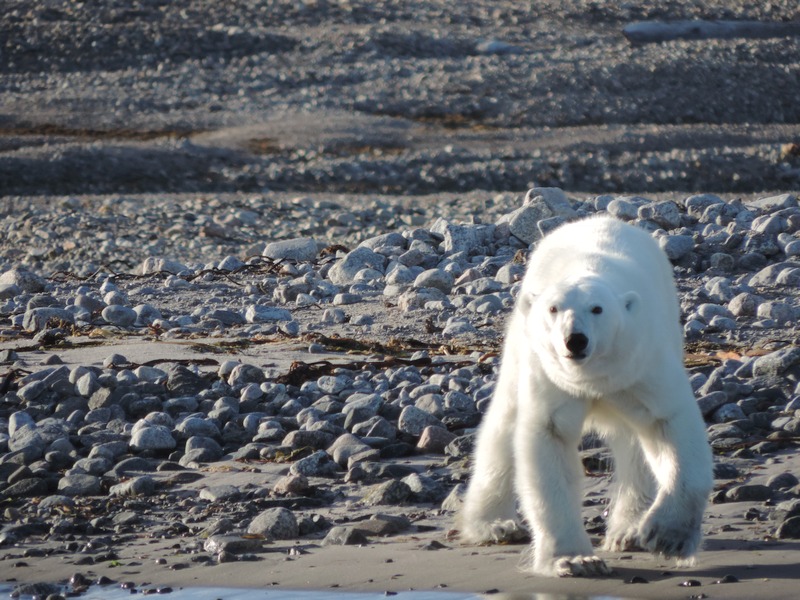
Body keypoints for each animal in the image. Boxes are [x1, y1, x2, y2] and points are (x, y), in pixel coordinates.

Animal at [460, 216, 716, 576]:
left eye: (597, 309)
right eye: (553, 308)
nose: (575, 340)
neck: (592, 380)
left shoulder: (642, 363)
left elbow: (669, 424)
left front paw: (667, 537)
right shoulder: (551, 379)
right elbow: (549, 440)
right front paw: (575, 560)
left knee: (634, 444)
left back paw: (628, 531)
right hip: (519, 345)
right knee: (503, 423)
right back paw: (494, 524)